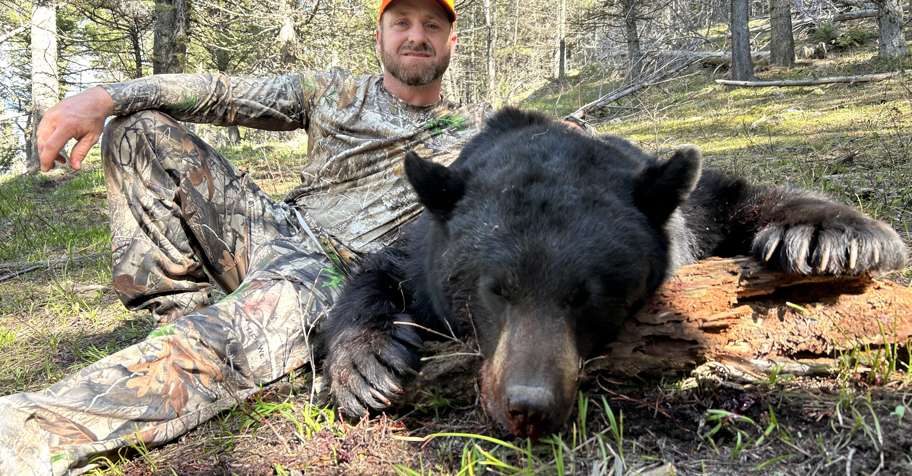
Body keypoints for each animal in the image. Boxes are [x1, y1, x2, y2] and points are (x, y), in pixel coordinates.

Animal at [321, 108, 908, 439]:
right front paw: (367, 365)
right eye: (494, 291)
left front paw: (833, 235)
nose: (528, 406)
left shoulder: (687, 213)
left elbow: (733, 195)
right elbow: (376, 270)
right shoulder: (425, 249)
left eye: (588, 295)